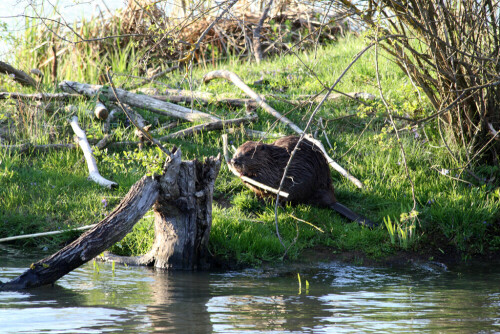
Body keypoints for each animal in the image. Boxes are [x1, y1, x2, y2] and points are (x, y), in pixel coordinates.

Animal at [230, 136, 376, 227]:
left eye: (248, 153)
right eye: (237, 151)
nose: (234, 160)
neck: (273, 157)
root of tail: (332, 201)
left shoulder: (279, 169)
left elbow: (268, 180)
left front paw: (244, 176)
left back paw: (275, 203)